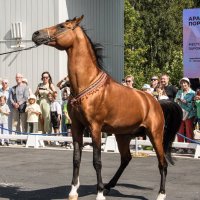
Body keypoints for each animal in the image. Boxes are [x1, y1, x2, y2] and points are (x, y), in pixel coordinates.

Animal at [32, 16, 182, 200]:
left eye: (61, 26)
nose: (36, 34)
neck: (86, 84)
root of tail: (155, 103)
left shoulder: (95, 128)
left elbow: (97, 161)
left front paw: (99, 193)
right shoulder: (77, 127)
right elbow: (76, 158)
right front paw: (73, 191)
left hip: (155, 134)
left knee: (162, 163)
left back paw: (160, 194)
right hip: (123, 135)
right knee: (126, 158)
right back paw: (109, 186)